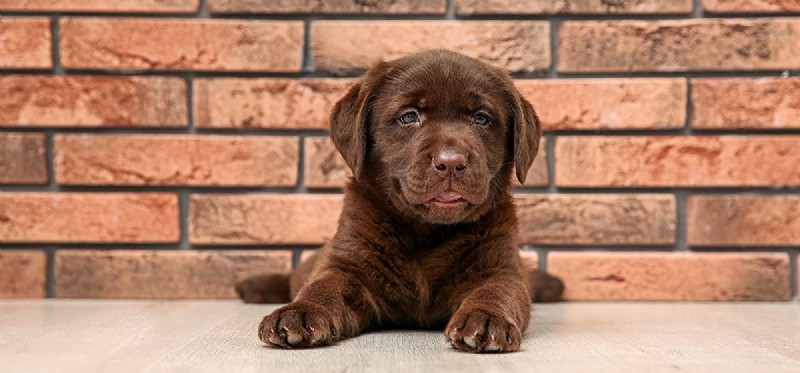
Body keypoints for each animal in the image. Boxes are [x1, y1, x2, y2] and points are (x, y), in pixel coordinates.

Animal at [236, 49, 564, 352]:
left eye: (481, 118)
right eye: (409, 117)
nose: (450, 161)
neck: (427, 232)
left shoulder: (500, 267)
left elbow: (499, 291)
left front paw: (486, 318)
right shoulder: (347, 262)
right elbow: (323, 284)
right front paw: (300, 312)